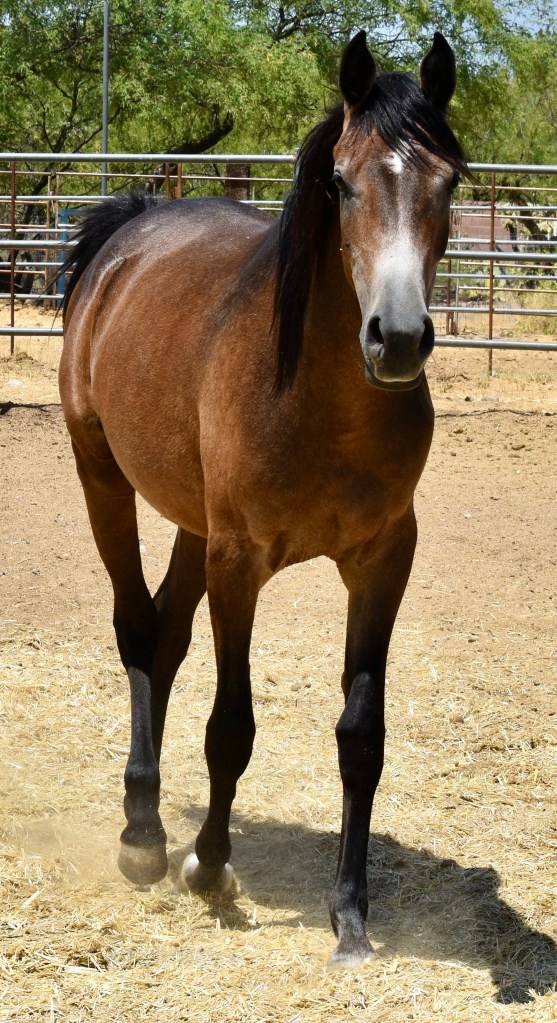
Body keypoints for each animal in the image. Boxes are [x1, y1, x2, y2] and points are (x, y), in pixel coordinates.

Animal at [59, 30, 466, 967]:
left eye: (450, 182)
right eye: (341, 182)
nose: (396, 338)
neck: (321, 401)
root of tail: (133, 224)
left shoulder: (383, 561)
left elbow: (361, 735)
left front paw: (349, 913)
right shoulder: (239, 560)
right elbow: (231, 727)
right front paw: (208, 866)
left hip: (188, 520)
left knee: (164, 636)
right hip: (104, 477)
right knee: (136, 629)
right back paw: (144, 836)